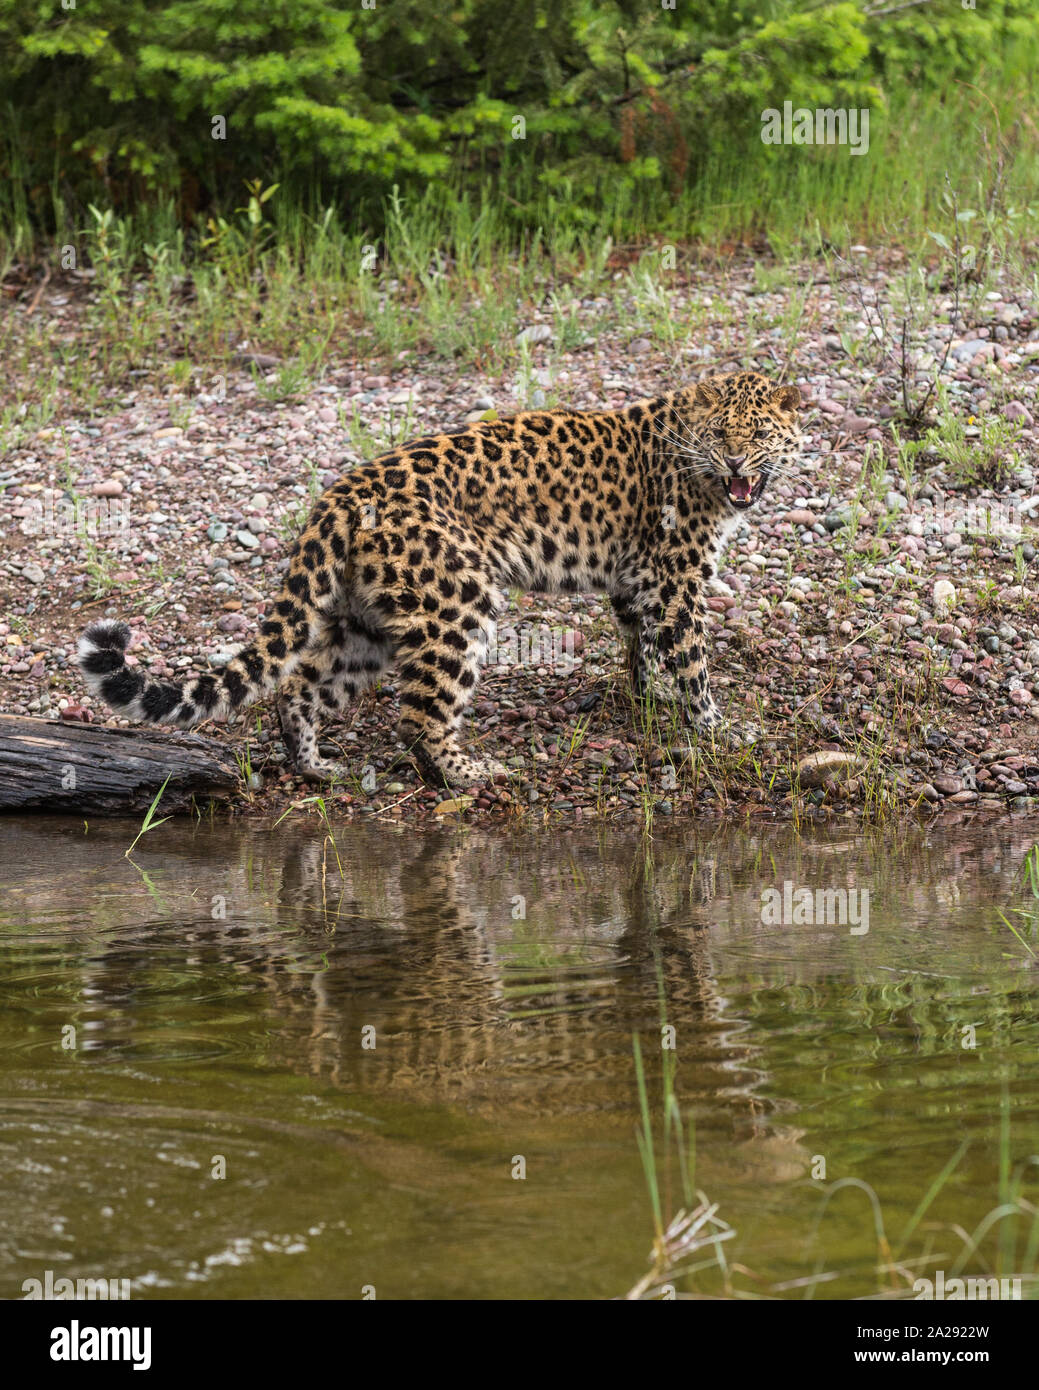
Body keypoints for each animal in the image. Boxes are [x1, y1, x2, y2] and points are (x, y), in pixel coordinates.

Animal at [79, 369, 806, 789]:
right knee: (419, 715)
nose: (736, 462)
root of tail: (339, 495)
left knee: (299, 686)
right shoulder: (677, 580)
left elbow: (644, 646)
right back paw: (470, 773)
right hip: (457, 601)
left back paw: (315, 766)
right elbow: (692, 661)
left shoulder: (639, 583)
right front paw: (716, 728)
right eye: (720, 435)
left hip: (367, 621)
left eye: (757, 434)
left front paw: (649, 698)